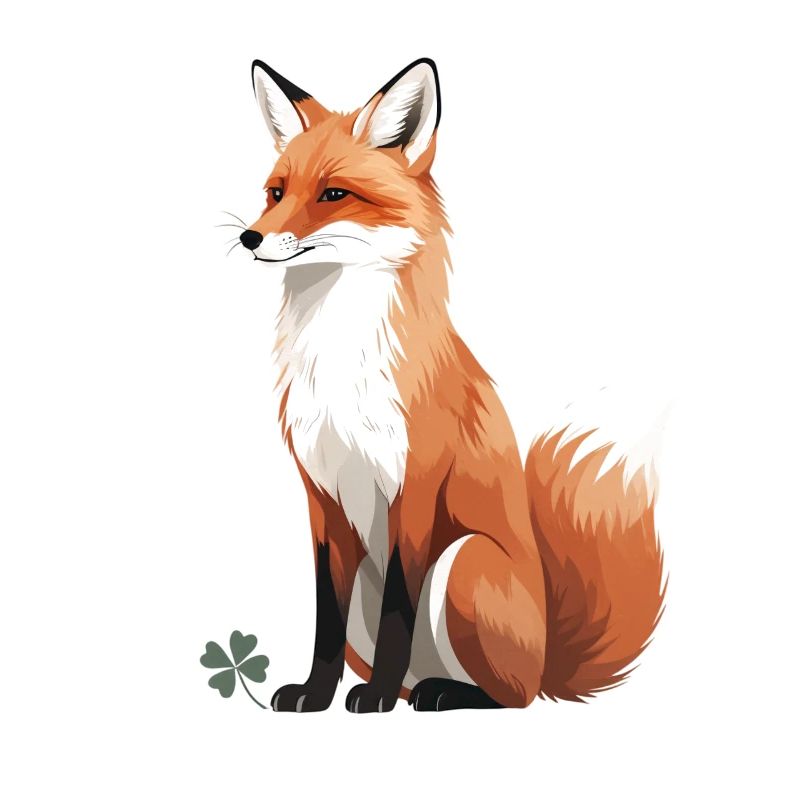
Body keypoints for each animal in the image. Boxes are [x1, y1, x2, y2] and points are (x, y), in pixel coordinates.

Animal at [233, 57, 666, 712]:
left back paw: (435, 694)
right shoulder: (320, 495)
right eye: (276, 193)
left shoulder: (415, 485)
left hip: (463, 563)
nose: (250, 238)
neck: (338, 364)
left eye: (333, 194)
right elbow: (325, 618)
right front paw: (315, 693)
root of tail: (548, 660)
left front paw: (374, 699)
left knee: (510, 695)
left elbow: (399, 609)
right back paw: (413, 690)